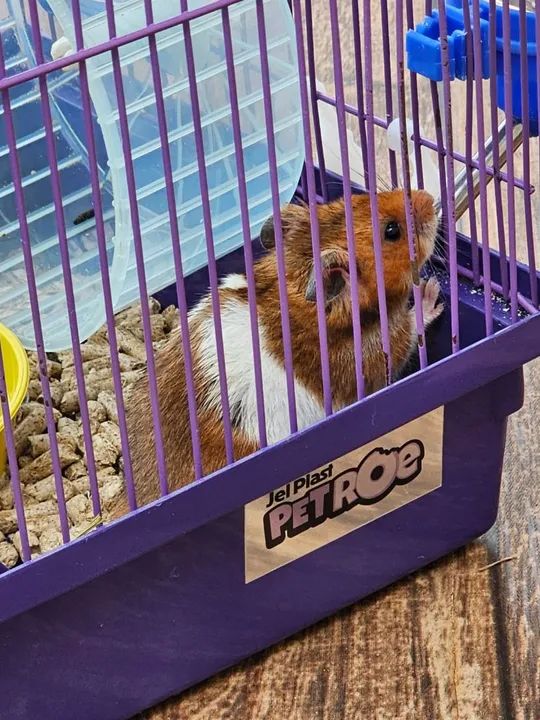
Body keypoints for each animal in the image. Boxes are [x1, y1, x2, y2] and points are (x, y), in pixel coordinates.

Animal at [109, 189, 443, 518]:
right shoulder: (379, 353)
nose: (431, 198)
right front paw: (431, 290)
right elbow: (411, 329)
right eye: (392, 231)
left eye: (354, 197)